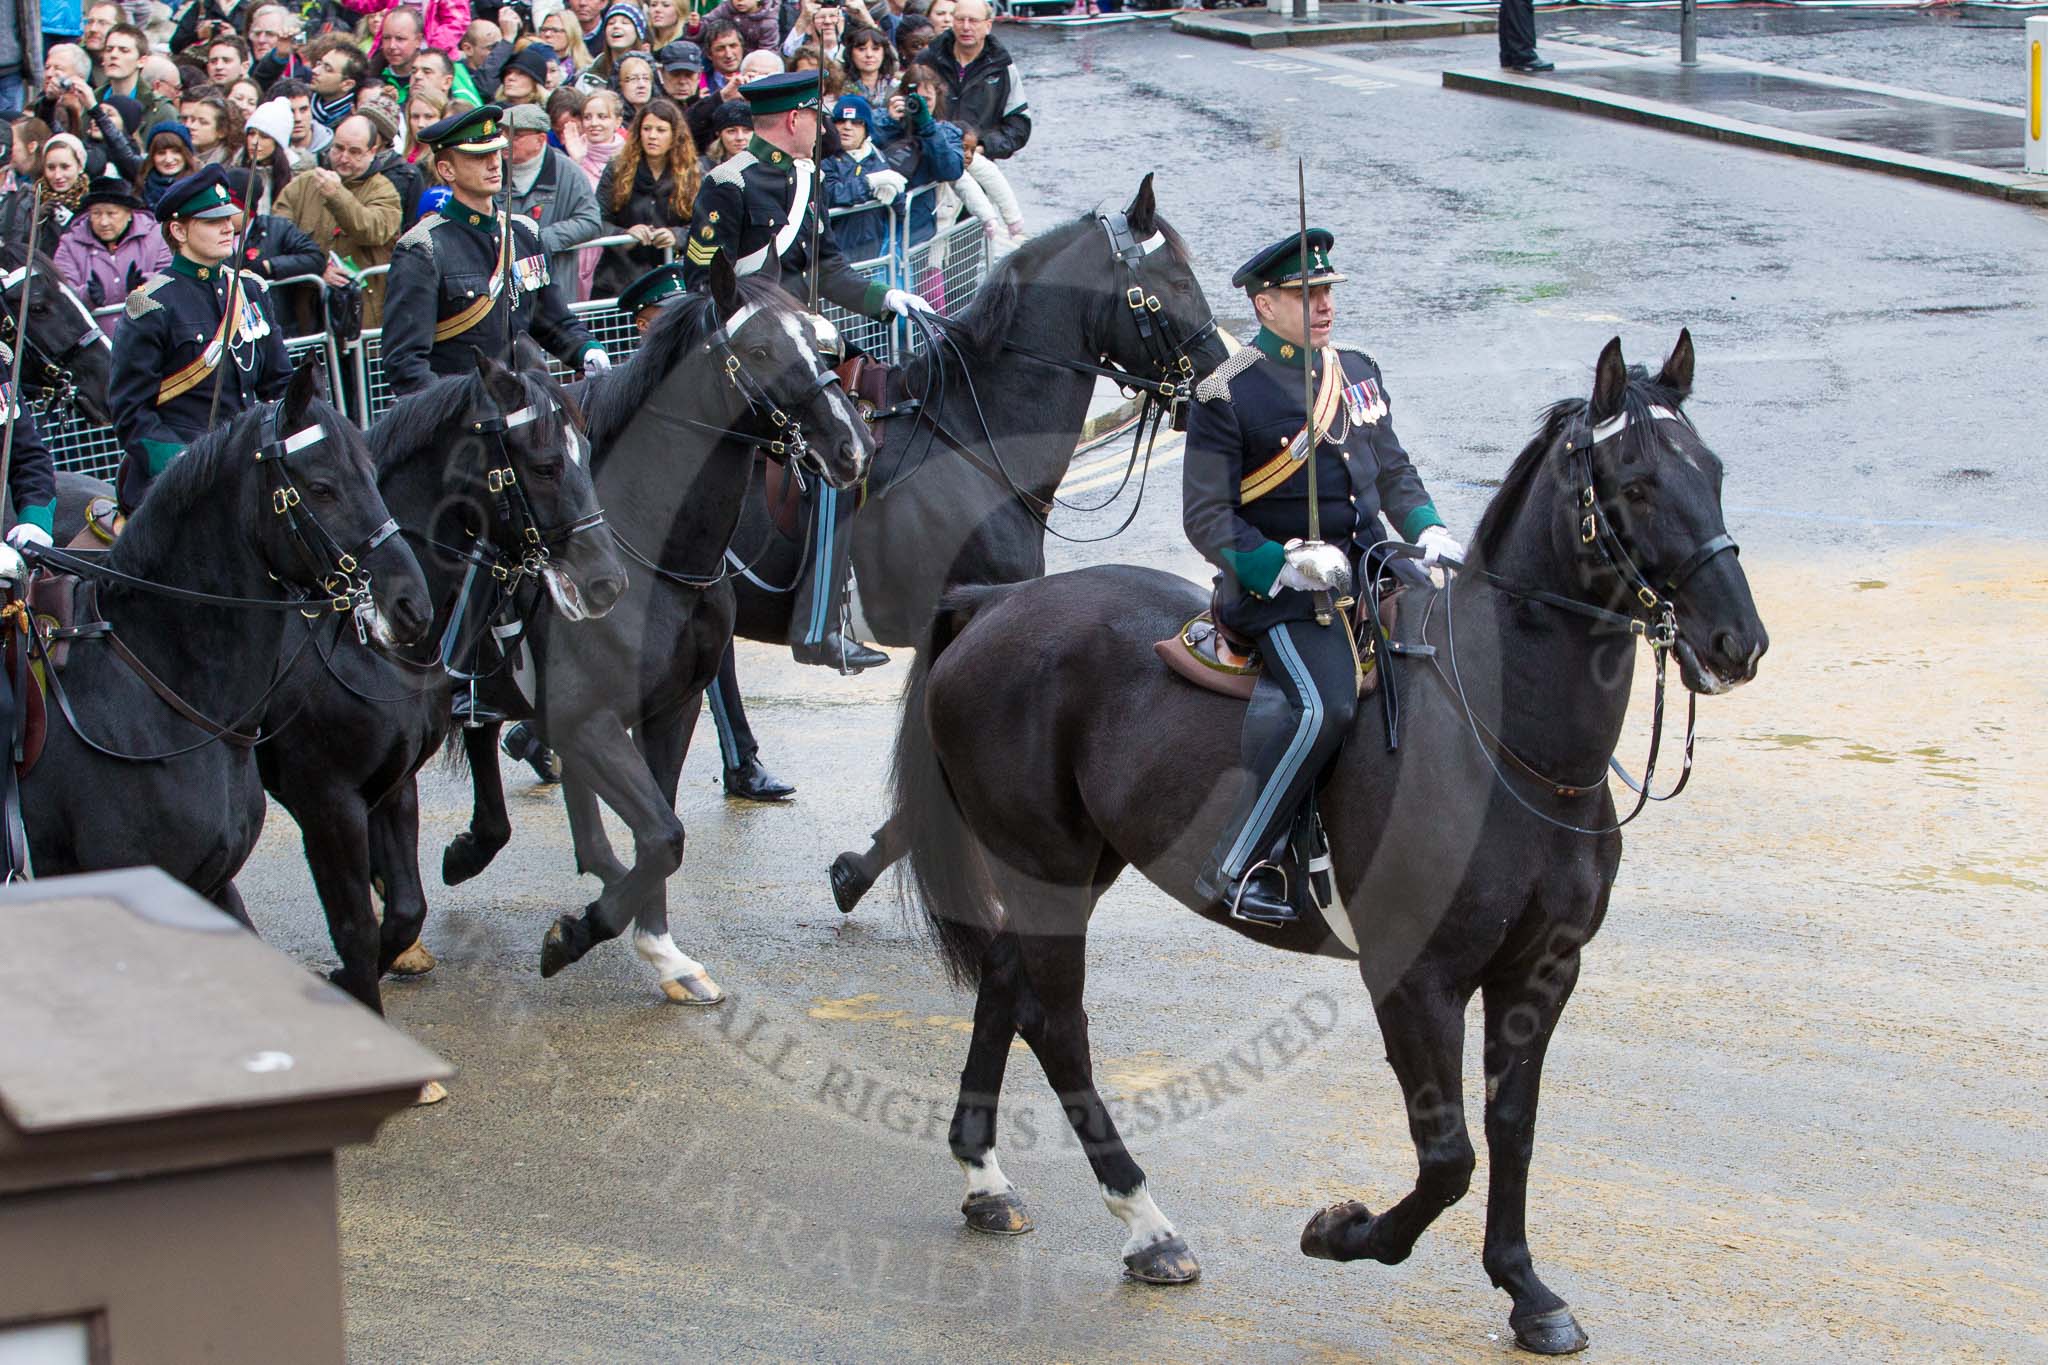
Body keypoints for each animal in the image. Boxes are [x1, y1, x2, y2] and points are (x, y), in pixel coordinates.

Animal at [442, 258, 872, 1002]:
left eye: (815, 342)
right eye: (761, 351)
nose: (851, 447)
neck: (654, 549)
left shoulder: (671, 707)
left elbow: (660, 830)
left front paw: (661, 949)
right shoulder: (591, 719)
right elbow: (663, 835)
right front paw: (577, 934)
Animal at [888, 333, 1769, 1358]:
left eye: (1713, 470)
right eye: (1634, 483)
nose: (1738, 642)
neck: (1506, 740)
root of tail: (994, 603)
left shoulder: (1541, 971)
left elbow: (1512, 1127)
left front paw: (1526, 1289)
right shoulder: (1415, 976)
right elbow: (1449, 1155)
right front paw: (1343, 1232)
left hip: (1072, 865)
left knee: (1005, 981)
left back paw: (985, 1178)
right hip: (1048, 865)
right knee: (1058, 1025)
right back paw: (1147, 1225)